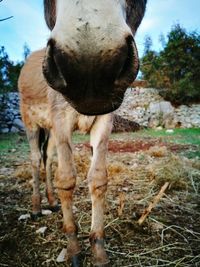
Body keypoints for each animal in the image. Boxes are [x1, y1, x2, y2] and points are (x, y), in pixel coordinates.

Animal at [18, 1, 147, 266]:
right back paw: (36, 208)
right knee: (35, 160)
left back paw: (52, 202)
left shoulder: (104, 119)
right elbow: (66, 180)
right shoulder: (61, 120)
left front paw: (98, 251)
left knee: (48, 159)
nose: (91, 66)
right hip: (32, 123)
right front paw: (74, 249)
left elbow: (98, 179)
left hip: (51, 132)